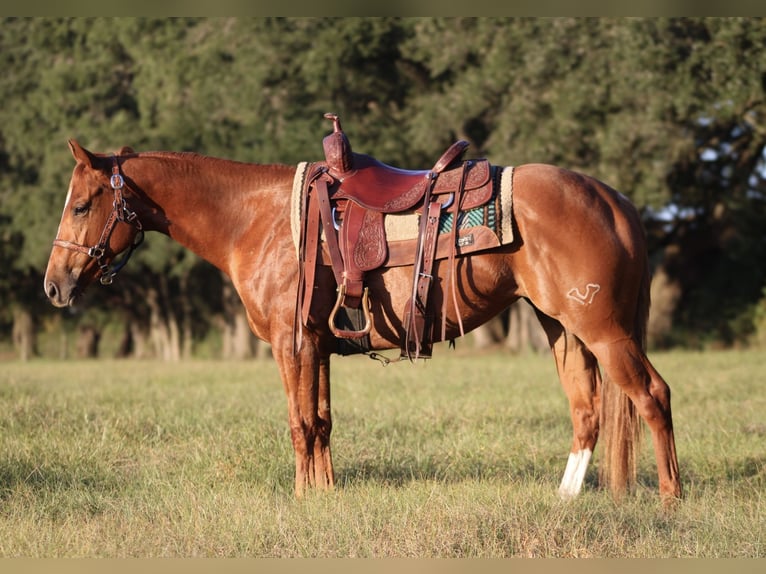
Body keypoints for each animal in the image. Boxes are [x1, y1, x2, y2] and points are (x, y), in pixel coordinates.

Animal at [43, 133, 684, 506]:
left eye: (80, 205)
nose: (54, 285)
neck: (257, 219)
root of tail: (615, 200)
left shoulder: (291, 344)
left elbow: (300, 423)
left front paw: (303, 501)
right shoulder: (318, 346)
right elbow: (323, 422)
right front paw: (325, 495)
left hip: (604, 331)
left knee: (652, 395)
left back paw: (671, 497)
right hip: (564, 331)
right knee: (588, 410)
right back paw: (567, 499)